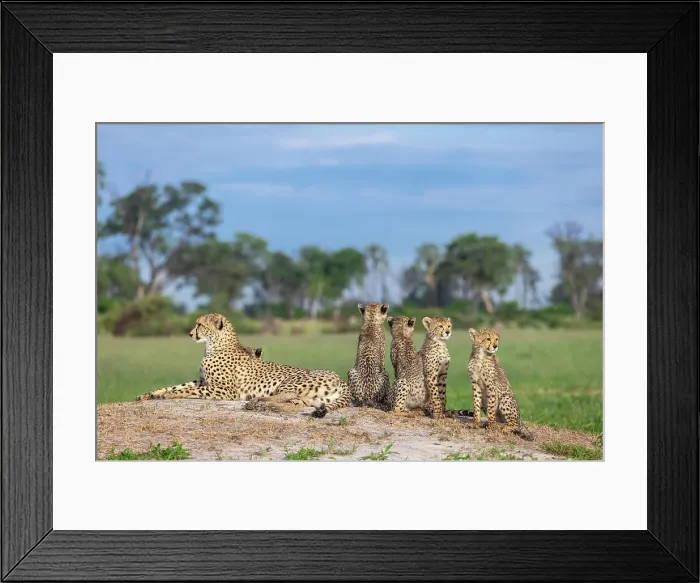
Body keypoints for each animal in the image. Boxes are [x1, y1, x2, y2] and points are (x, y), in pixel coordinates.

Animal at [135, 313, 351, 418]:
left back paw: (256, 401)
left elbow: (185, 391)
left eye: (199, 325)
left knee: (290, 398)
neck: (214, 345)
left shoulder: (225, 391)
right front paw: (149, 394)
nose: (190, 334)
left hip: (288, 382)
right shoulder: (201, 381)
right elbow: (176, 386)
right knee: (302, 402)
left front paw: (163, 396)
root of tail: (341, 378)